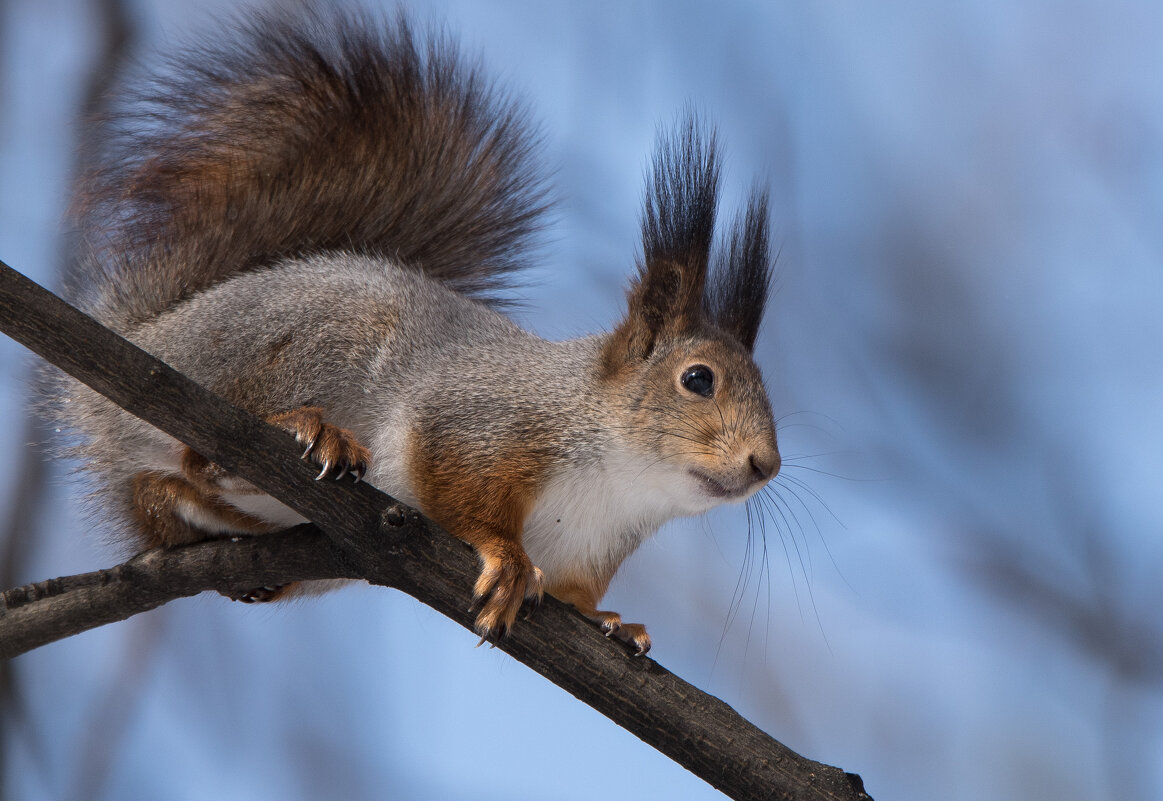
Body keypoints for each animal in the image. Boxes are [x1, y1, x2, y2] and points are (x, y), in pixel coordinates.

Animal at [56, 7, 781, 655]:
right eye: (697, 379)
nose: (764, 465)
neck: (620, 481)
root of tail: (151, 338)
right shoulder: (478, 417)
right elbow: (456, 483)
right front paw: (506, 557)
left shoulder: (587, 551)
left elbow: (576, 595)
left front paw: (613, 620)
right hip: (295, 347)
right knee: (203, 446)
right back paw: (295, 434)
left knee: (157, 501)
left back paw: (188, 509)